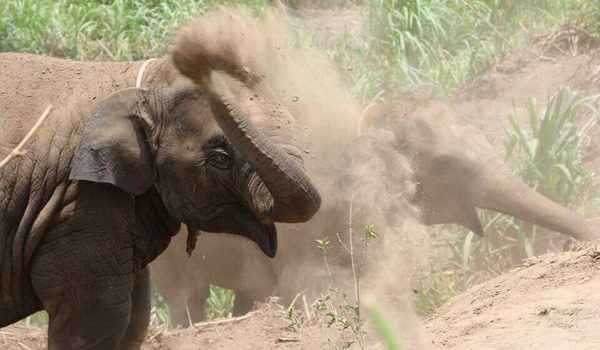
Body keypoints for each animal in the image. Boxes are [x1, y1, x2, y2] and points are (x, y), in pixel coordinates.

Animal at [0, 12, 322, 348]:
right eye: (221, 158)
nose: (196, 47)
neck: (143, 84)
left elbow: (137, 314)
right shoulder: (80, 204)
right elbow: (98, 314)